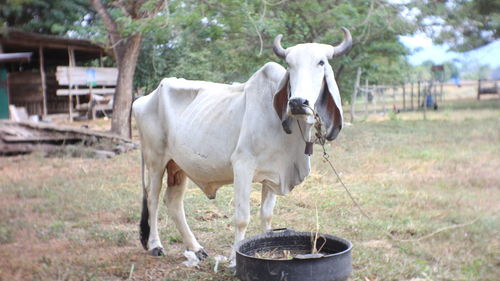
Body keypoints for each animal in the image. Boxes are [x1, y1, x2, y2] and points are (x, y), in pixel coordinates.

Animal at [132, 27, 352, 260]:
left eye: (321, 62)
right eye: (289, 65)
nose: (297, 102)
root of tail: (143, 99)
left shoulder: (274, 174)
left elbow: (266, 215)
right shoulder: (243, 165)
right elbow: (242, 218)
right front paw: (233, 260)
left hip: (178, 165)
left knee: (173, 202)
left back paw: (196, 248)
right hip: (155, 160)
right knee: (153, 200)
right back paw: (156, 245)